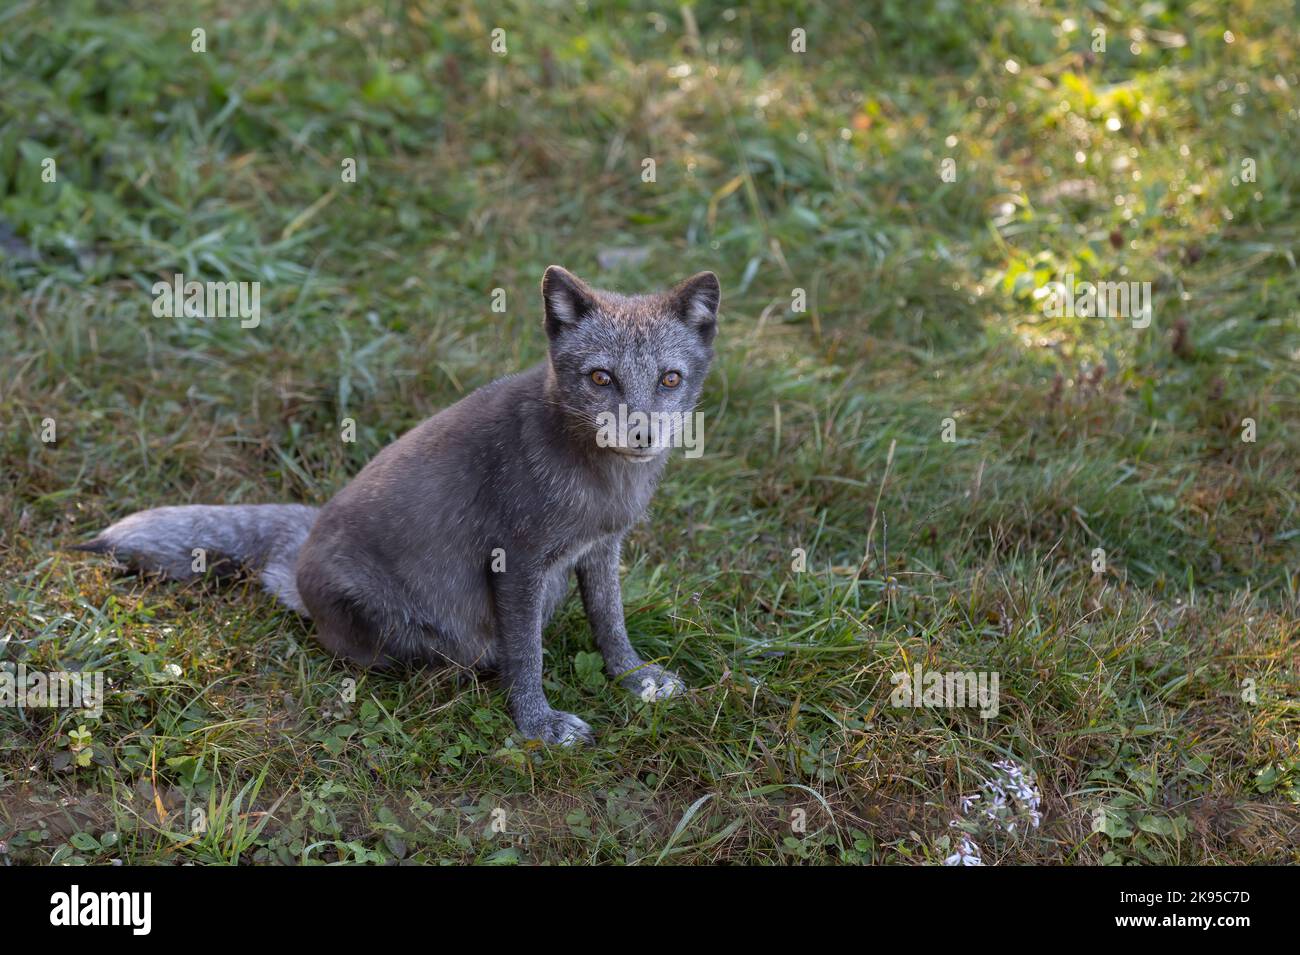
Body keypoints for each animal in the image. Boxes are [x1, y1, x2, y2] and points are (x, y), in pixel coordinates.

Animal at [76, 266, 721, 745]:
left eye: (668, 380)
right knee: (436, 658)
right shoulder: (516, 560)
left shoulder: (600, 549)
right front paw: (537, 725)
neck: (600, 483)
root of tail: (302, 553)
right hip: (399, 627)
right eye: (600, 377)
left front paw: (634, 679)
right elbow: (526, 656)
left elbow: (610, 623)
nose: (642, 435)